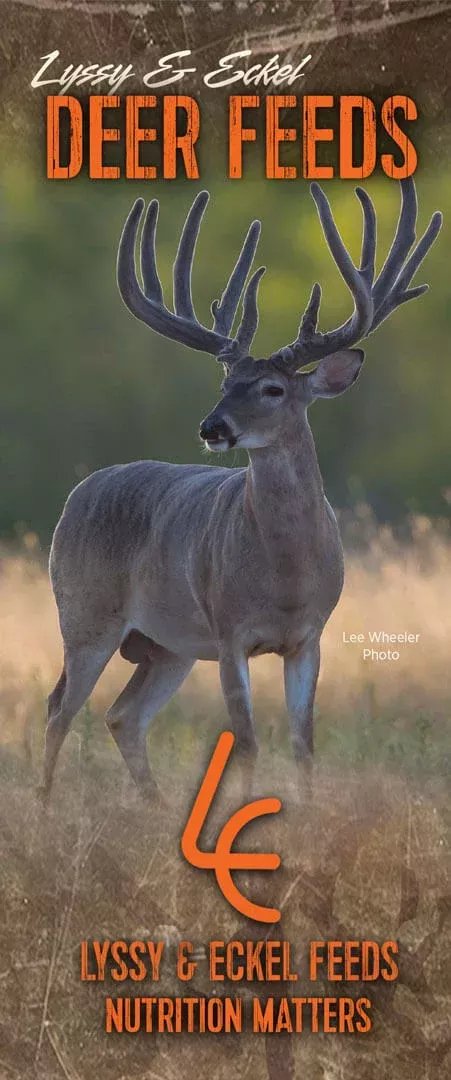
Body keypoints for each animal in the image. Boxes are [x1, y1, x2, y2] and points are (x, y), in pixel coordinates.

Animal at [42, 177, 442, 804]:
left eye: (273, 388)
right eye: (225, 382)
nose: (213, 427)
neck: (285, 578)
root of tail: (77, 494)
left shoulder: (310, 636)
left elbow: (303, 744)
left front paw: (306, 814)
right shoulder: (229, 630)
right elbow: (247, 740)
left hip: (168, 645)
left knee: (122, 715)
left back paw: (156, 807)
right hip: (85, 614)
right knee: (60, 708)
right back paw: (43, 805)